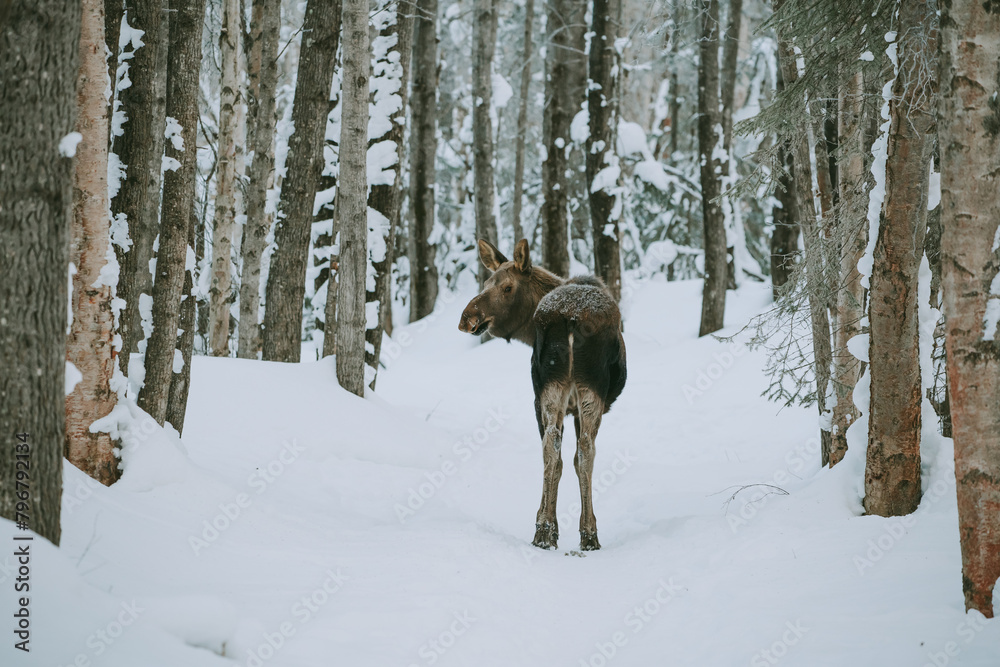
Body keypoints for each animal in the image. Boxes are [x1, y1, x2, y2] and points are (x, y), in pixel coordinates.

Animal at [458, 238, 627, 551]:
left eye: (506, 287)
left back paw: (545, 531)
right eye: (486, 282)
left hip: (549, 389)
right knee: (582, 451)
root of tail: (570, 317)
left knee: (553, 447)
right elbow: (575, 459)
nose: (467, 318)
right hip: (584, 388)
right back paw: (584, 533)